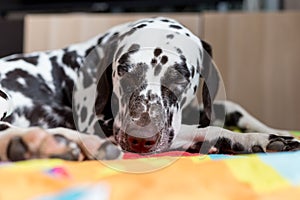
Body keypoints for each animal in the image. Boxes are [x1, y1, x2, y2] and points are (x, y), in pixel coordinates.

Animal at [0, 16, 300, 162]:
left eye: (179, 78)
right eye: (123, 71)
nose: (140, 140)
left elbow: (230, 107)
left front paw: (272, 129)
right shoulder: (103, 123)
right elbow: (209, 128)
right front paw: (254, 139)